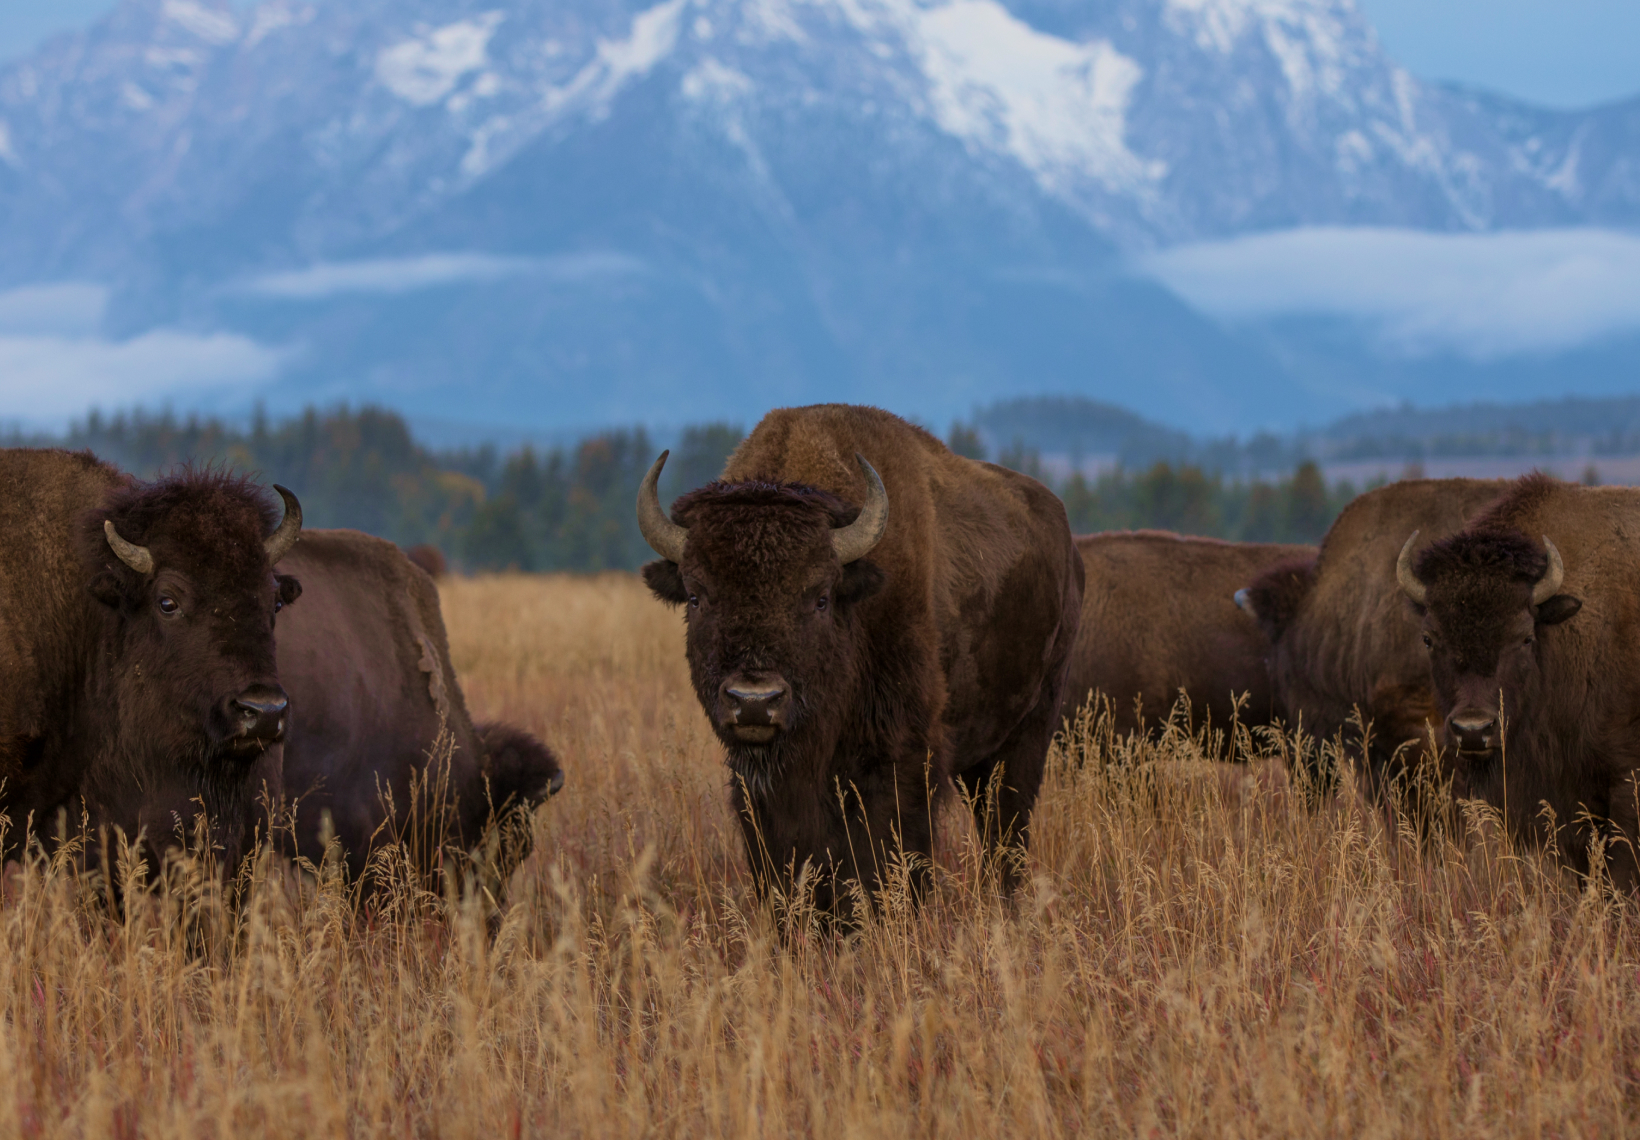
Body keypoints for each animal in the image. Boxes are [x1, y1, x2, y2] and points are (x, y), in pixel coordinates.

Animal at [637, 404, 1083, 914]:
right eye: (696, 596)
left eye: (821, 597)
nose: (754, 701)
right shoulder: (760, 788)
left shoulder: (899, 761)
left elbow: (883, 859)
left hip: (1029, 730)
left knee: (1005, 828)